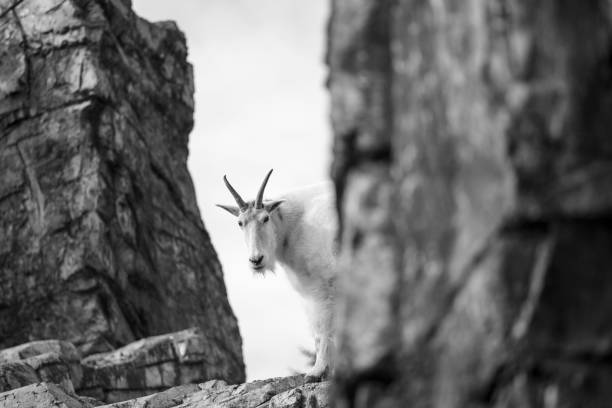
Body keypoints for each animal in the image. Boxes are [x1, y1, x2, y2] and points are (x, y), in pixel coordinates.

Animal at [218, 169, 338, 380]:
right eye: (240, 223)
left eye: (265, 218)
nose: (256, 260)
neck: (292, 226)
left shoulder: (324, 286)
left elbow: (322, 330)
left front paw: (315, 372)